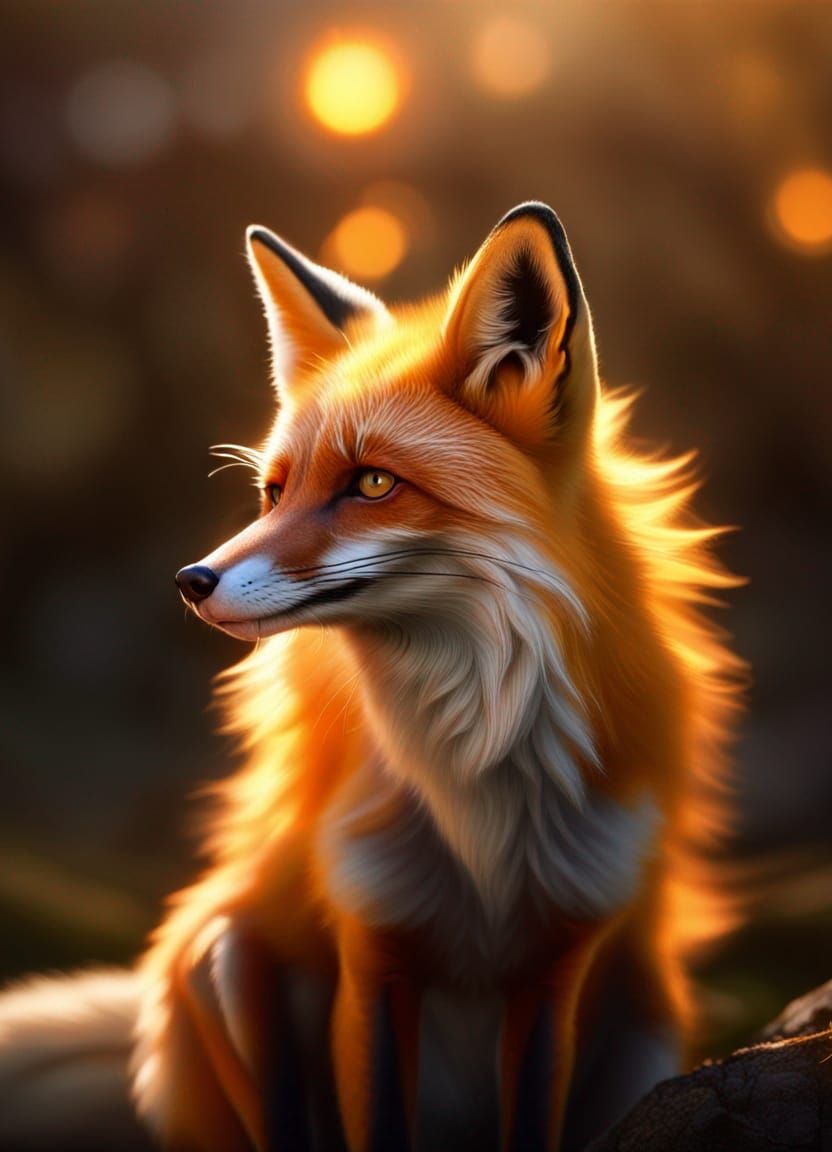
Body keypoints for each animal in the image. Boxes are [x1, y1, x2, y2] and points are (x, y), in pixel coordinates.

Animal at [0, 202, 744, 1151]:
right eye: (274, 492)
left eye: (374, 483)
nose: (191, 581)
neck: (479, 797)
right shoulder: (375, 951)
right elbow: (377, 1115)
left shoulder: (559, 964)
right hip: (226, 963)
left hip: (647, 1026)